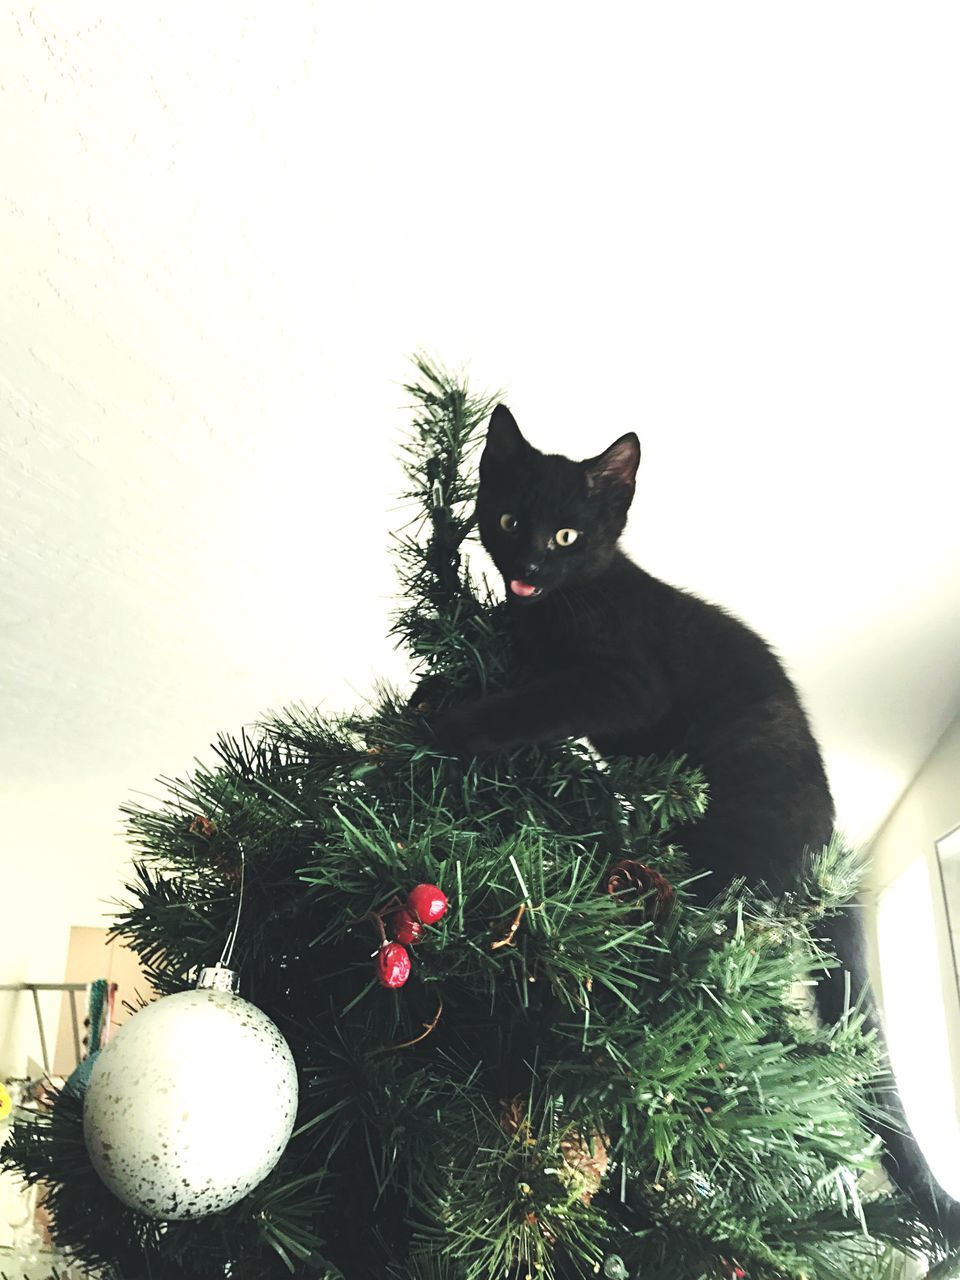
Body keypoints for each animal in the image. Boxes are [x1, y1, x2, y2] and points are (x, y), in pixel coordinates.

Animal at [435, 404, 834, 896]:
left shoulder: (632, 683)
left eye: (566, 536)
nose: (527, 566)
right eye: (509, 522)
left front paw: (459, 726)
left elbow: (544, 700)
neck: (569, 600)